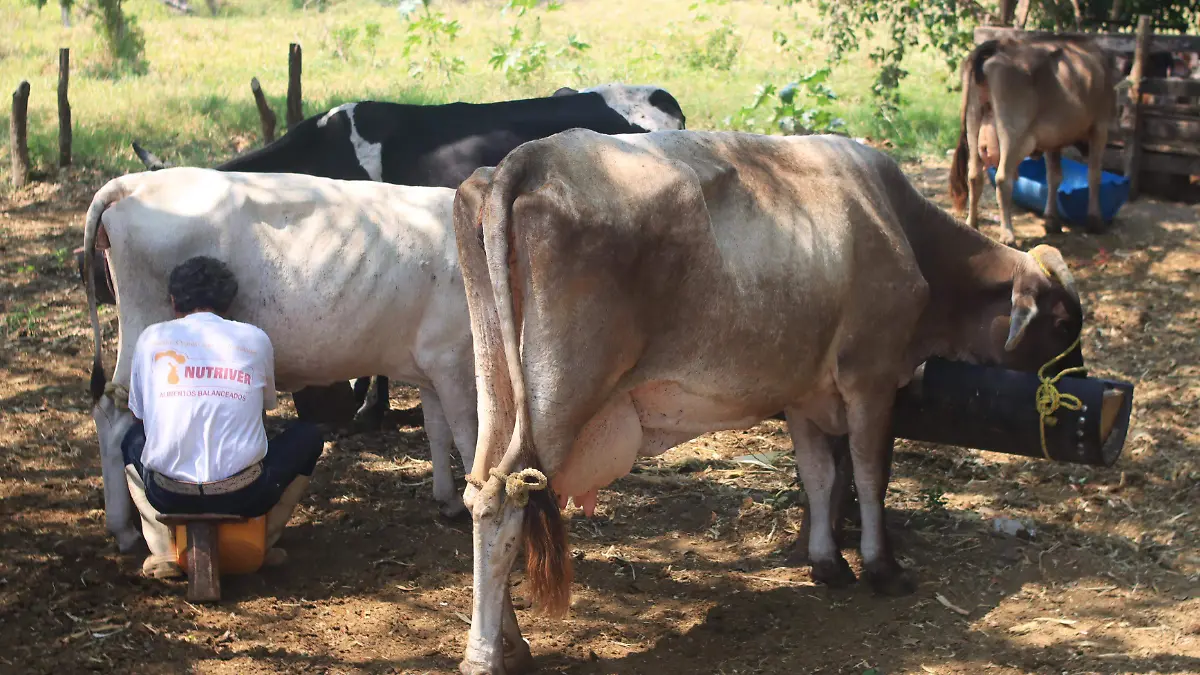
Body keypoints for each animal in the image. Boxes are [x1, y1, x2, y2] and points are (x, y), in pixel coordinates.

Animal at [83, 167, 475, 559]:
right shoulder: (452, 360)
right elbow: (467, 435)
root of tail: (135, 183)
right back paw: (126, 530)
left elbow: (438, 431)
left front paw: (448, 499)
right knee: (113, 418)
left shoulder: (432, 364)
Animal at [450, 129, 1084, 674]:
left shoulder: (804, 390)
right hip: (562, 393)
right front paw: (882, 567)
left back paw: (510, 644)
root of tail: (528, 159)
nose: (1075, 386)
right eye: (1060, 323)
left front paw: (828, 561)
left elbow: (821, 476)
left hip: (501, 389)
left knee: (481, 490)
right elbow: (871, 474)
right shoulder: (873, 377)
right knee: (506, 501)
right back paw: (484, 657)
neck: (904, 230)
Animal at [950, 36, 1118, 245]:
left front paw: (1052, 220)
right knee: (1003, 179)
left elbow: (1054, 177)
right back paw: (1007, 235)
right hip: (1013, 133)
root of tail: (1000, 46)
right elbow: (1094, 175)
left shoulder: (1055, 138)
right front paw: (1095, 220)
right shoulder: (1100, 126)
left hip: (973, 122)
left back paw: (972, 224)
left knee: (974, 176)